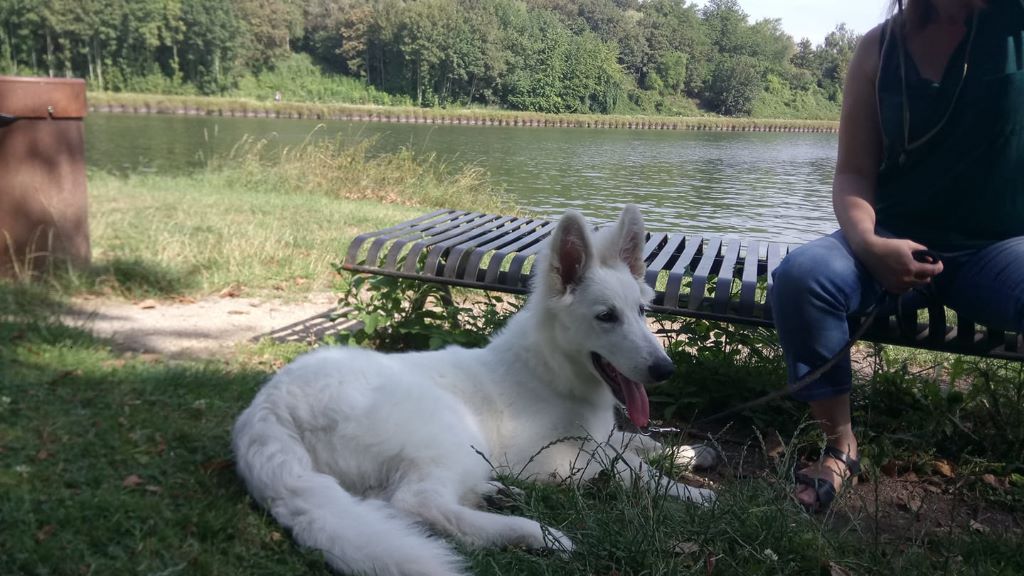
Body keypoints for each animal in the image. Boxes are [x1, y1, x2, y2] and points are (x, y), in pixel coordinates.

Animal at [232, 205, 716, 576]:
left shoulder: (599, 436)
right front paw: (693, 493)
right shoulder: (554, 459)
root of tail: (267, 410)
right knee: (418, 504)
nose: (665, 370)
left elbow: (637, 442)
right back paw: (533, 533)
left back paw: (494, 494)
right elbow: (631, 468)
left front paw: (690, 453)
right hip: (448, 429)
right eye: (606, 317)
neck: (549, 368)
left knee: (387, 503)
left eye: (640, 311)